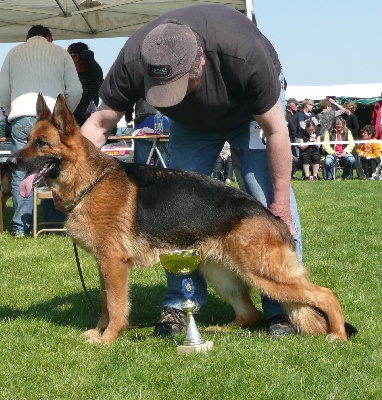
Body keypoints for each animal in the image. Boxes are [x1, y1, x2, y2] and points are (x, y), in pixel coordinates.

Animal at [8, 94, 356, 344]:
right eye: (27, 140)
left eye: (41, 144)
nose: (9, 162)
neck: (89, 182)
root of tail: (272, 218)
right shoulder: (103, 265)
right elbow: (106, 303)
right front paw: (99, 331)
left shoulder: (114, 265)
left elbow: (117, 306)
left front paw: (108, 339)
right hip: (221, 275)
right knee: (250, 315)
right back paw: (220, 331)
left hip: (264, 274)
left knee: (324, 294)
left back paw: (338, 334)